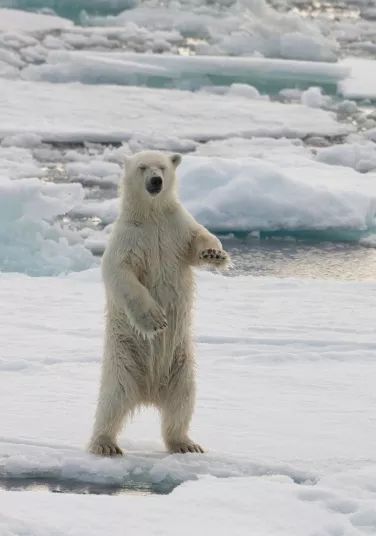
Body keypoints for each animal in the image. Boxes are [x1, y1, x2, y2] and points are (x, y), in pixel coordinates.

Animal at [88, 151, 229, 456]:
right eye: (143, 167)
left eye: (162, 167)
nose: (156, 181)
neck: (151, 216)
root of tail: (149, 393)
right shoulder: (128, 238)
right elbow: (122, 274)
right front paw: (156, 320)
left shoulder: (176, 227)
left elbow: (200, 238)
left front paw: (215, 254)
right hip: (123, 360)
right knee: (112, 401)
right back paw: (105, 444)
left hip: (181, 365)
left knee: (182, 402)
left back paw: (186, 444)